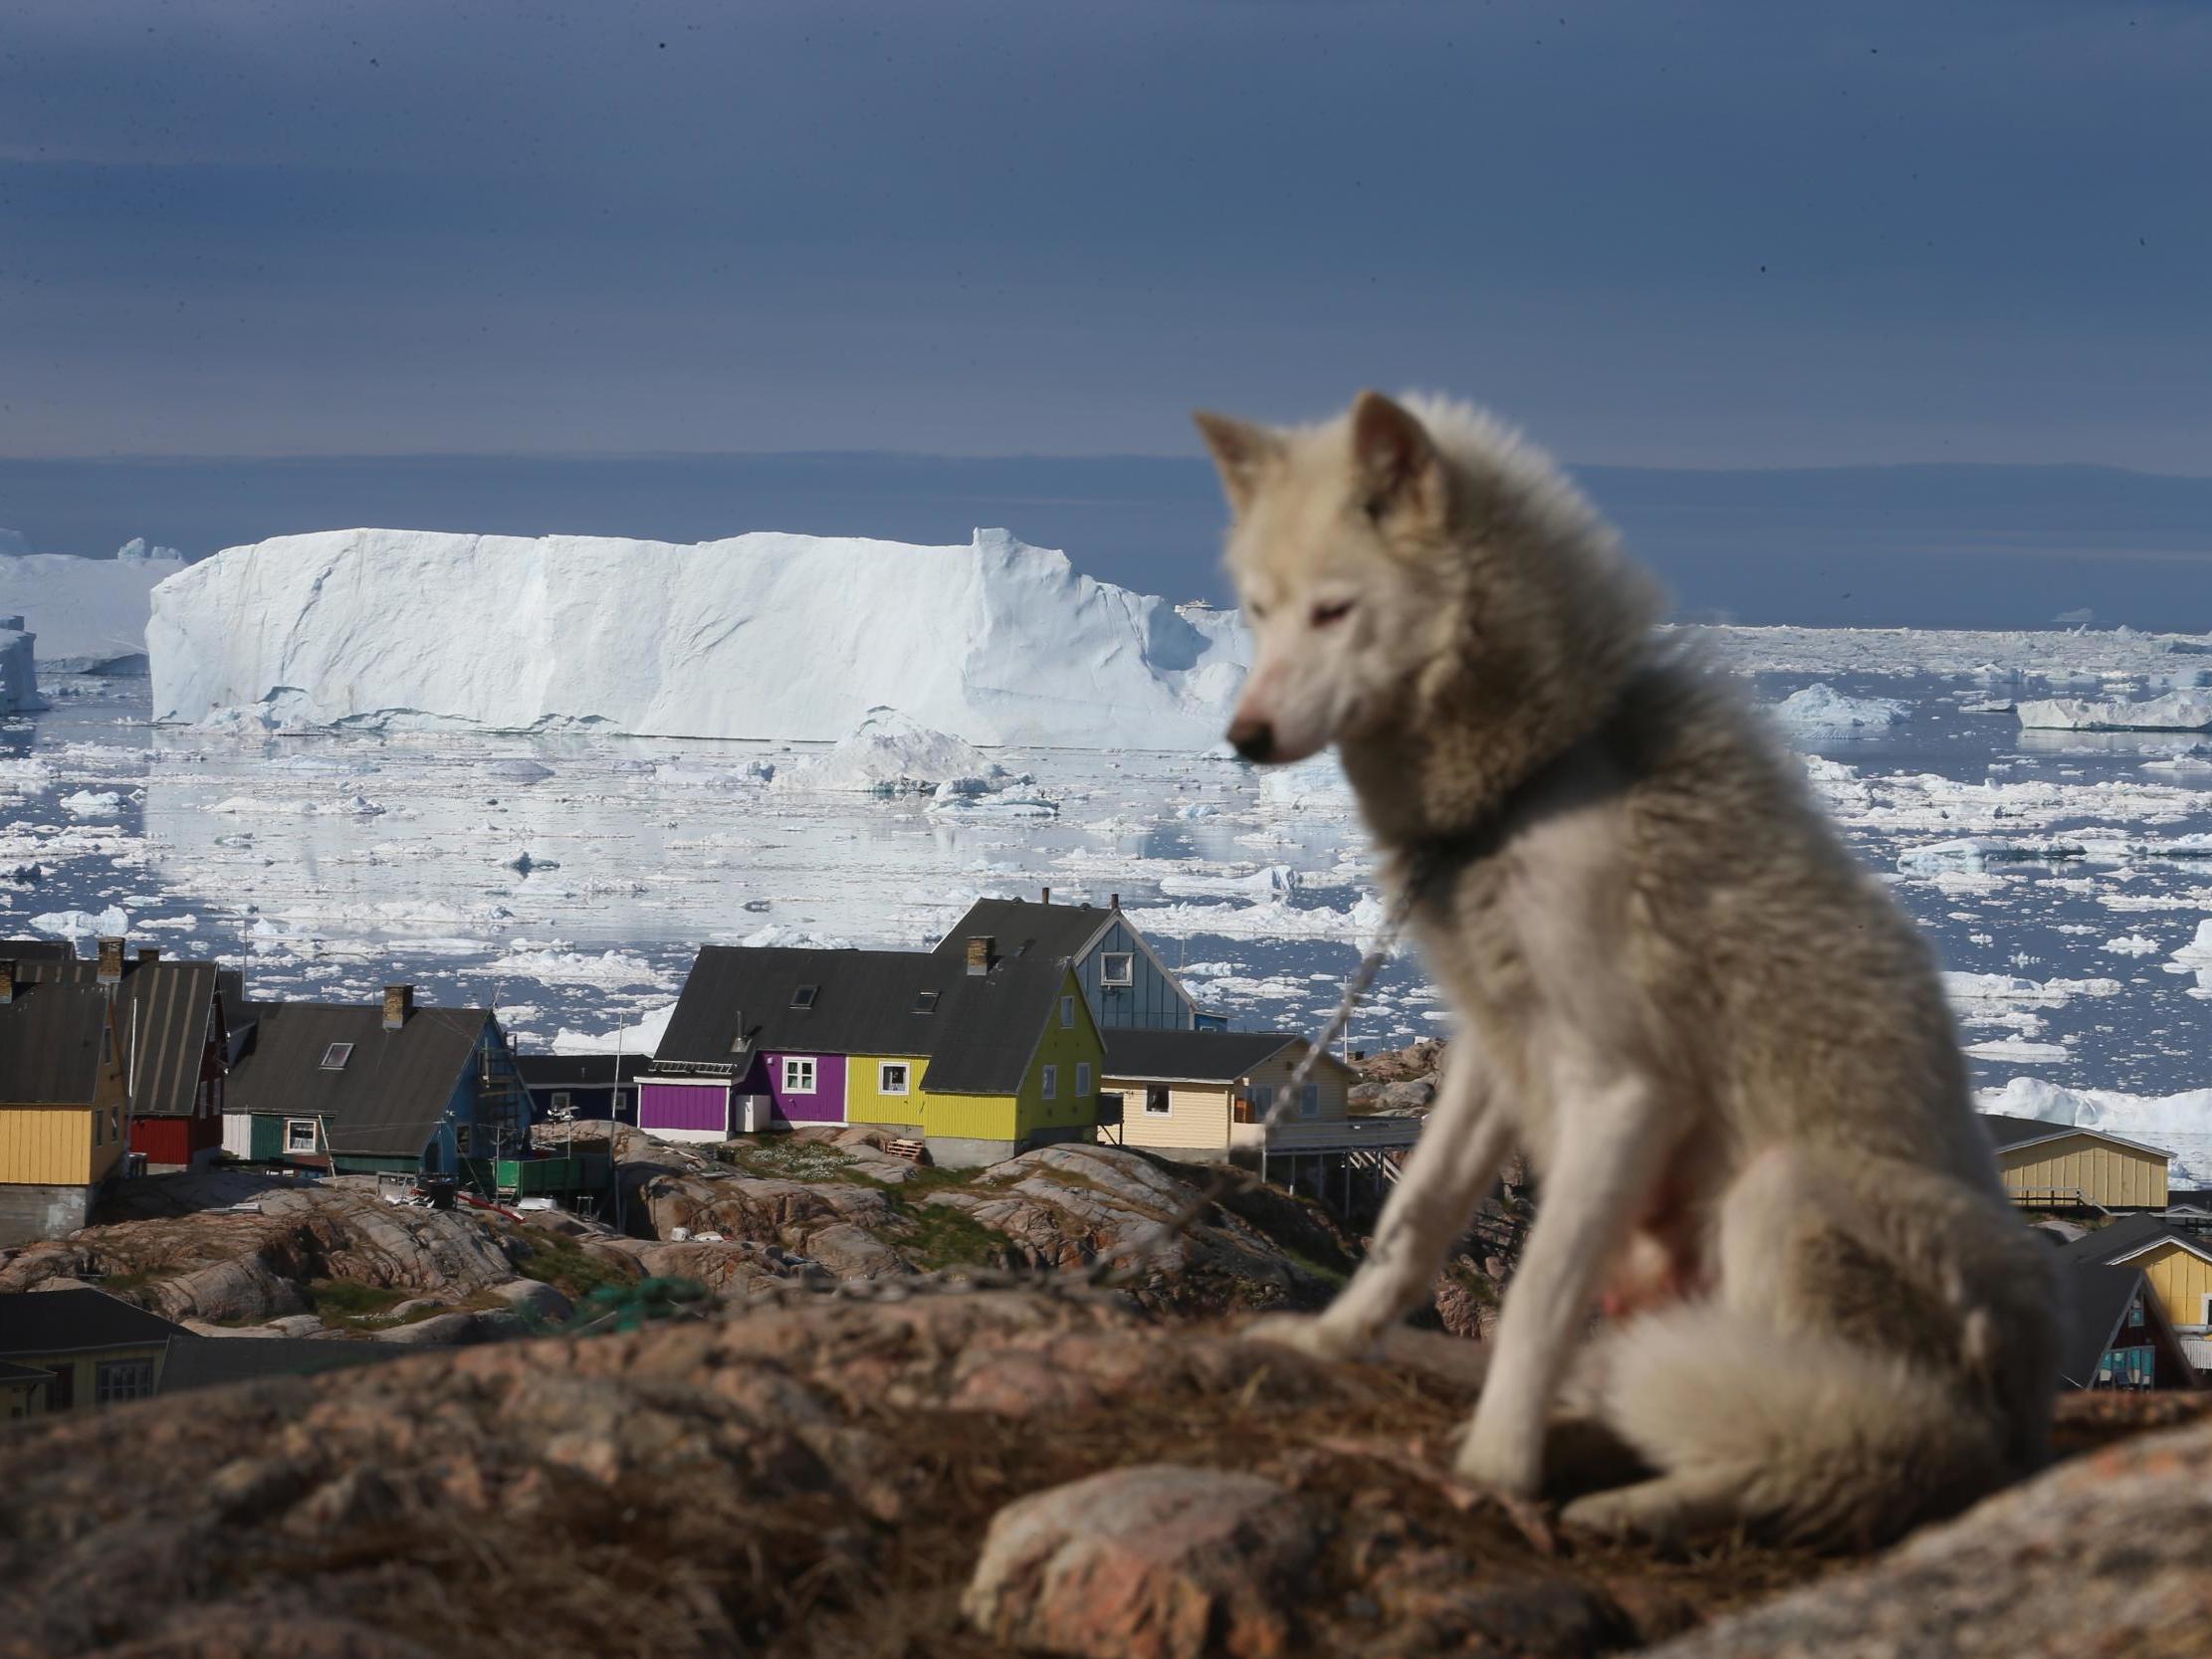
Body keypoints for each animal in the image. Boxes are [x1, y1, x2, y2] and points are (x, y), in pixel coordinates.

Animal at [1203, 393, 2061, 1556]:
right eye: (1258, 609)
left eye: (1334, 610)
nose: (1241, 736)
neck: (1528, 784)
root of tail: (2005, 1432)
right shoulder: (1495, 1051)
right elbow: (1409, 1223)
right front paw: (1335, 1340)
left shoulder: (1623, 1087)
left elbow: (1534, 1296)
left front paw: (1492, 1467)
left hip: (1783, 1196)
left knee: (1841, 1447)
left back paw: (1640, 1502)